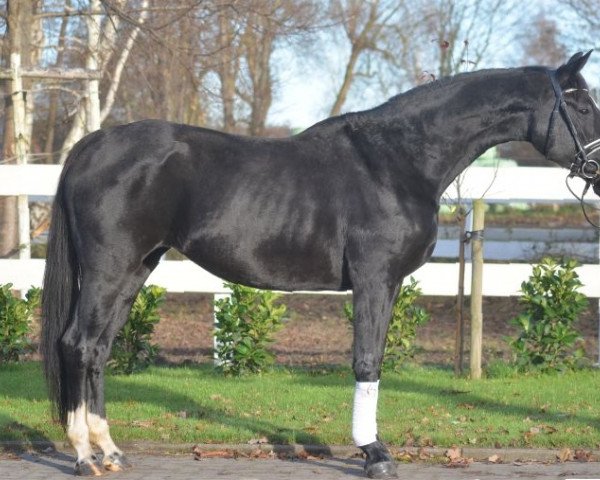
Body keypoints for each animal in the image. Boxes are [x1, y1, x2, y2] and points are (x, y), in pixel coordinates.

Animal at [41, 52, 600, 476]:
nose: (596, 168)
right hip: (110, 268)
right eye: (580, 104)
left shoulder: (386, 284)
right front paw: (375, 454)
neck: (397, 160)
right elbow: (367, 361)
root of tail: (93, 143)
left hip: (137, 268)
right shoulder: (375, 279)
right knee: (78, 344)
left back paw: (111, 451)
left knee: (99, 349)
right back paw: (85, 456)